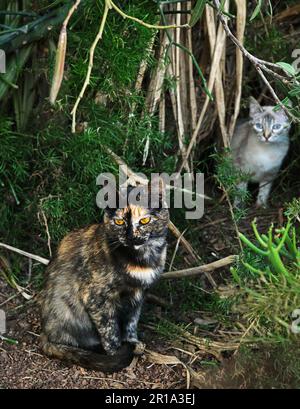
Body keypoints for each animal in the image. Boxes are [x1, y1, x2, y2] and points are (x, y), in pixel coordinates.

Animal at [40, 180, 169, 372]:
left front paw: (132, 341)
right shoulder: (96, 298)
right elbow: (110, 330)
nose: (131, 237)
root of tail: (44, 333)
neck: (142, 259)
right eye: (119, 221)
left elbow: (132, 321)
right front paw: (116, 352)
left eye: (144, 220)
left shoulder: (139, 295)